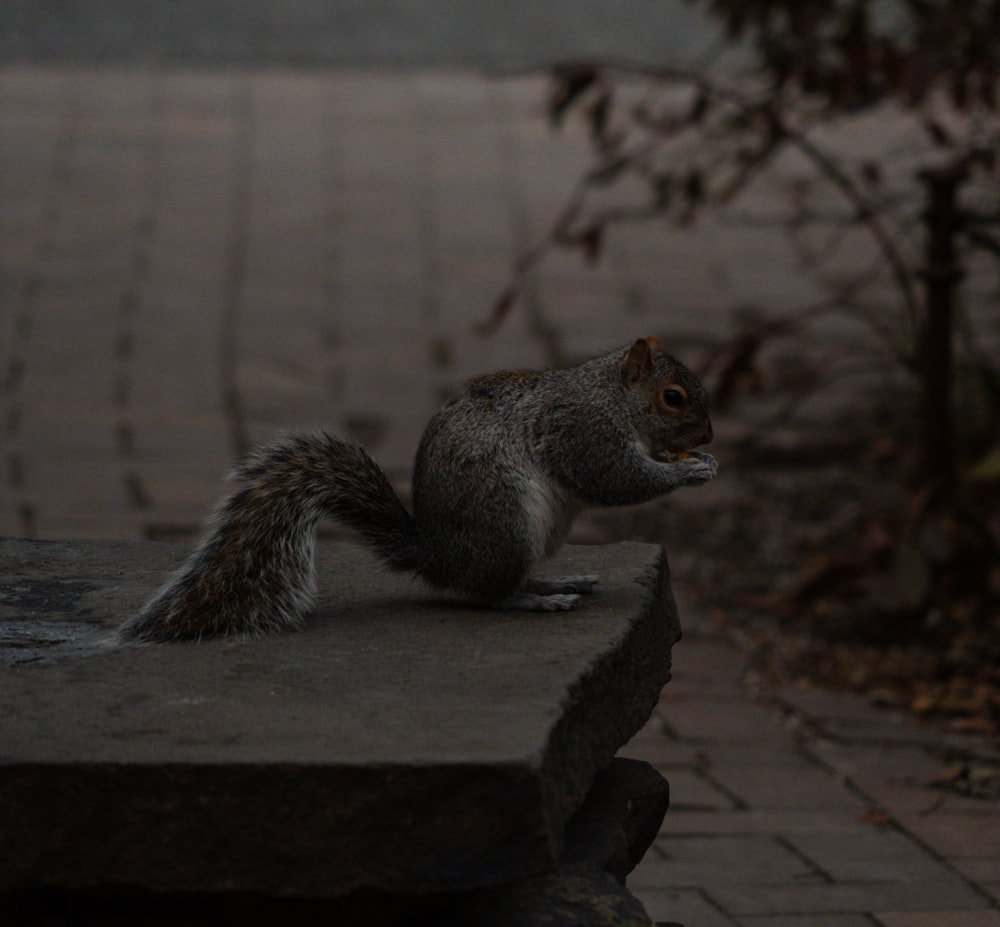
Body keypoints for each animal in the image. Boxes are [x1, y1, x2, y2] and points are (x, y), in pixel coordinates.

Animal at [121, 338, 720, 640]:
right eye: (672, 397)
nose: (709, 437)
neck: (610, 396)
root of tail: (437, 554)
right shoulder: (584, 431)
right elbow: (615, 478)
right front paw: (689, 472)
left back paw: (555, 580)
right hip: (508, 523)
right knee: (487, 595)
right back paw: (536, 600)